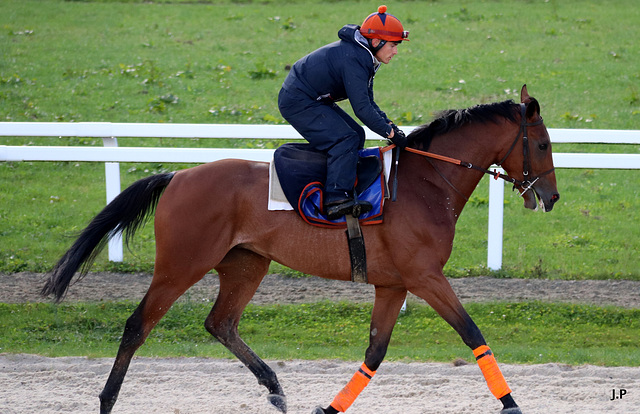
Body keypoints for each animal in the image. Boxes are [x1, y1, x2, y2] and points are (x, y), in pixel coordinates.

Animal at [41, 85, 560, 414]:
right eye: (541, 144)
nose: (551, 197)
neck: (426, 182)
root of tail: (177, 176)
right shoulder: (425, 276)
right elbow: (473, 333)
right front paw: (511, 404)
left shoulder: (393, 284)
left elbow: (375, 352)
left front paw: (327, 408)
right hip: (181, 264)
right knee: (137, 325)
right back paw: (107, 400)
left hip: (246, 264)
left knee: (220, 323)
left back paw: (274, 388)